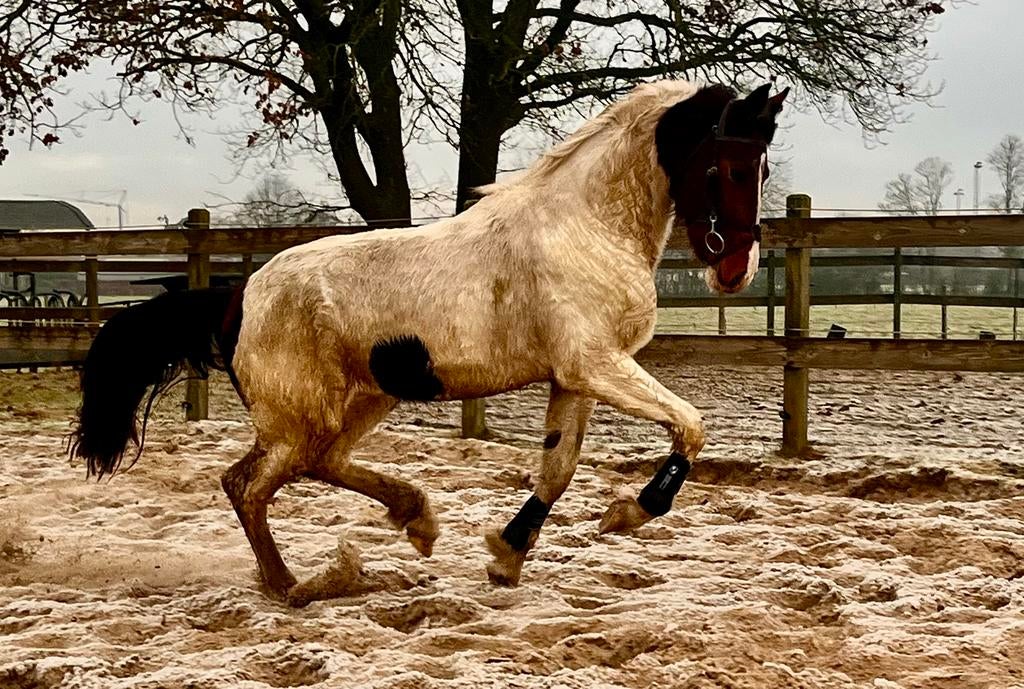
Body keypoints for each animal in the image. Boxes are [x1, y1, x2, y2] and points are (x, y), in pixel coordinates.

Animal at [69, 79, 788, 606]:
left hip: (361, 402)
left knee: (309, 467)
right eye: (725, 166)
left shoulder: (575, 376)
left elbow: (557, 470)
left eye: (761, 168)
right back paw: (292, 585)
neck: (583, 227)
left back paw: (415, 518)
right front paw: (629, 512)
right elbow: (690, 426)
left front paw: (506, 557)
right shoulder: (597, 364)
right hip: (301, 418)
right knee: (248, 485)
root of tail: (240, 294)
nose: (736, 270)